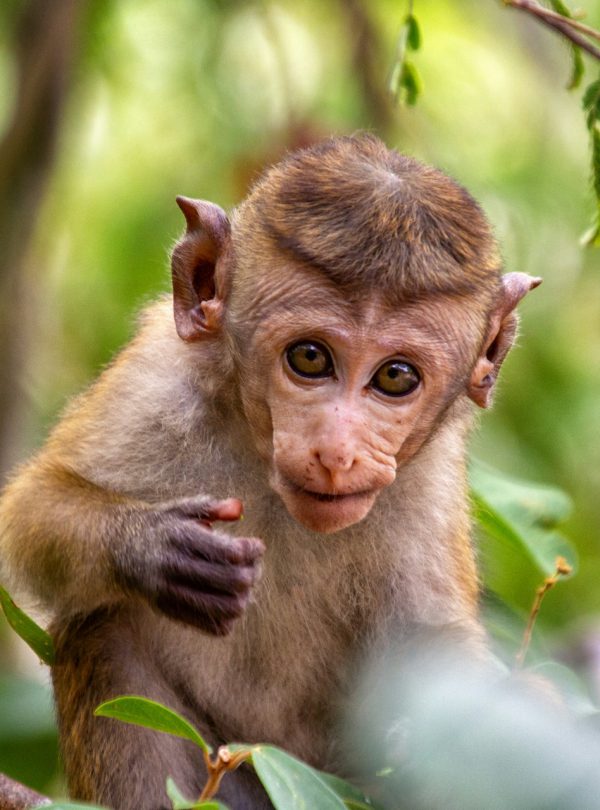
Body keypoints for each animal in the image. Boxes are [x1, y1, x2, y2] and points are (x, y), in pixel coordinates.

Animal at [0, 135, 540, 810]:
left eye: (396, 376)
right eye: (309, 358)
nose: (336, 452)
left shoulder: (430, 477)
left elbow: (434, 644)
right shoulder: (156, 381)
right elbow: (31, 510)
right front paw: (152, 548)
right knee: (104, 627)